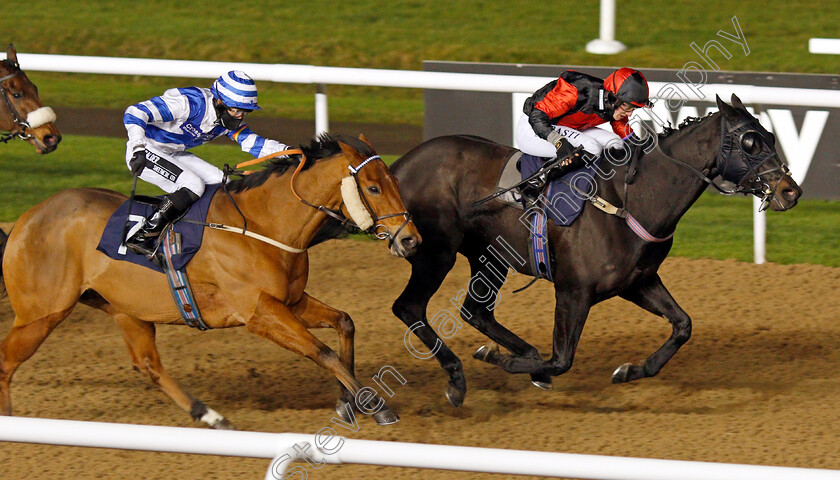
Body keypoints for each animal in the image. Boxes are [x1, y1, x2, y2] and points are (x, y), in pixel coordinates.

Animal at [0, 134, 420, 428]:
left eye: (395, 182)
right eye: (373, 187)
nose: (410, 239)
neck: (262, 224)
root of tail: (25, 219)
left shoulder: (290, 300)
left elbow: (344, 323)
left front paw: (350, 402)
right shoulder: (259, 313)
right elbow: (324, 352)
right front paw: (375, 405)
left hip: (125, 310)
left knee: (148, 364)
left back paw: (211, 416)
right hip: (41, 314)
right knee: (6, 361)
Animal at [388, 93, 800, 404]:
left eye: (771, 134)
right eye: (750, 142)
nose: (790, 191)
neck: (633, 199)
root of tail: (396, 168)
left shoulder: (637, 282)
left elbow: (683, 325)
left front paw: (630, 370)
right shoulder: (573, 291)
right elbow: (561, 359)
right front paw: (501, 360)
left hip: (488, 256)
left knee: (475, 312)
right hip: (436, 253)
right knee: (409, 307)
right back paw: (458, 379)